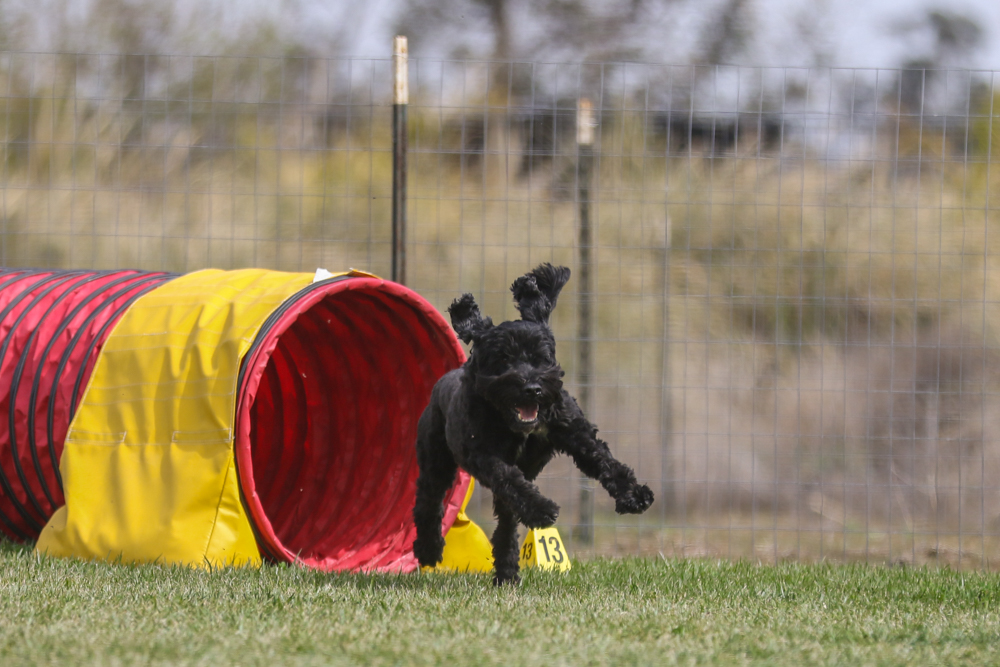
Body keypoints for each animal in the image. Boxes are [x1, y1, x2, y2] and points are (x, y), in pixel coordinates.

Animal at [410, 264, 652, 584]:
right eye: (503, 359)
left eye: (541, 358)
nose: (532, 388)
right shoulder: (484, 454)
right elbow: (509, 477)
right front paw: (542, 510)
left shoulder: (575, 432)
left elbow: (605, 461)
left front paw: (634, 495)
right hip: (435, 457)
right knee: (429, 500)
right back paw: (429, 549)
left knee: (507, 518)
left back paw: (507, 572)